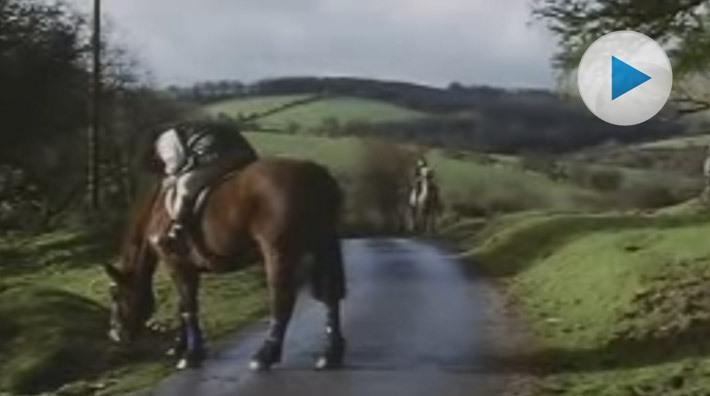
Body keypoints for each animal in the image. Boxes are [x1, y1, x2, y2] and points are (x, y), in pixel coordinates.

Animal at [105, 158, 348, 372]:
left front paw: (191, 355)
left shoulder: (178, 265)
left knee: (282, 300)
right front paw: (180, 346)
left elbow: (188, 308)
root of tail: (316, 175)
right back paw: (330, 355)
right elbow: (183, 307)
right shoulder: (187, 268)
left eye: (116, 295)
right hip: (324, 244)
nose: (115, 334)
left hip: (280, 253)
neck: (157, 211)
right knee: (331, 295)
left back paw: (265, 355)